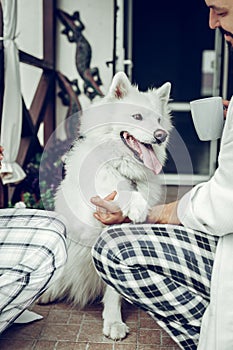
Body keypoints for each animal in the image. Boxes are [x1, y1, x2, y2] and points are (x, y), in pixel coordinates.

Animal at [39, 73, 171, 340]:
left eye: (159, 119)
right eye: (136, 116)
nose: (161, 135)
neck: (122, 167)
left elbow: (113, 293)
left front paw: (113, 321)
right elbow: (118, 190)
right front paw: (134, 202)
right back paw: (49, 292)